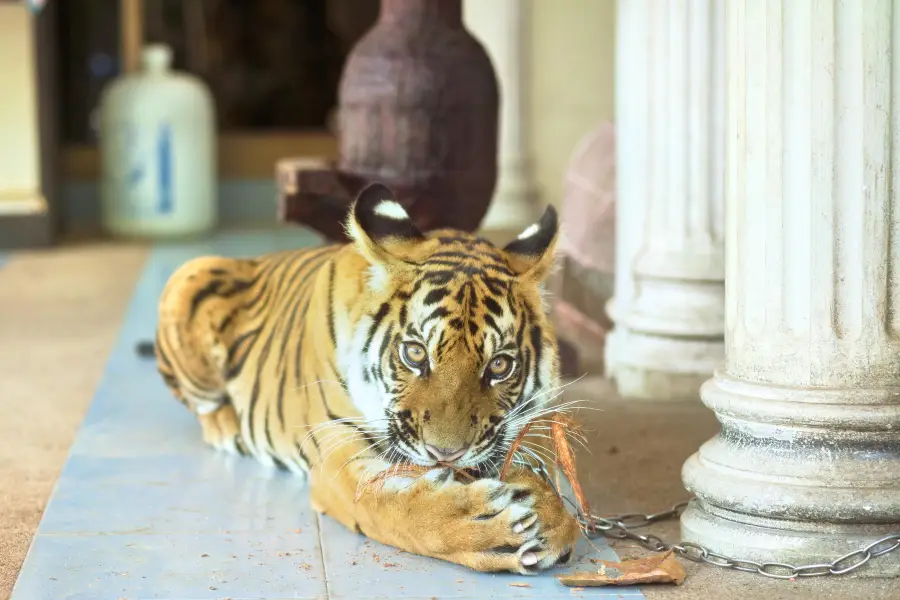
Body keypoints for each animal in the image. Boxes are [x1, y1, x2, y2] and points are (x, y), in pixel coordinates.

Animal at [151, 182, 580, 572]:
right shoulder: (339, 453)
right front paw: (491, 528)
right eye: (415, 353)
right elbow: (398, 511)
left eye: (499, 366)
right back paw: (227, 426)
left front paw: (550, 514)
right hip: (191, 275)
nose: (446, 454)